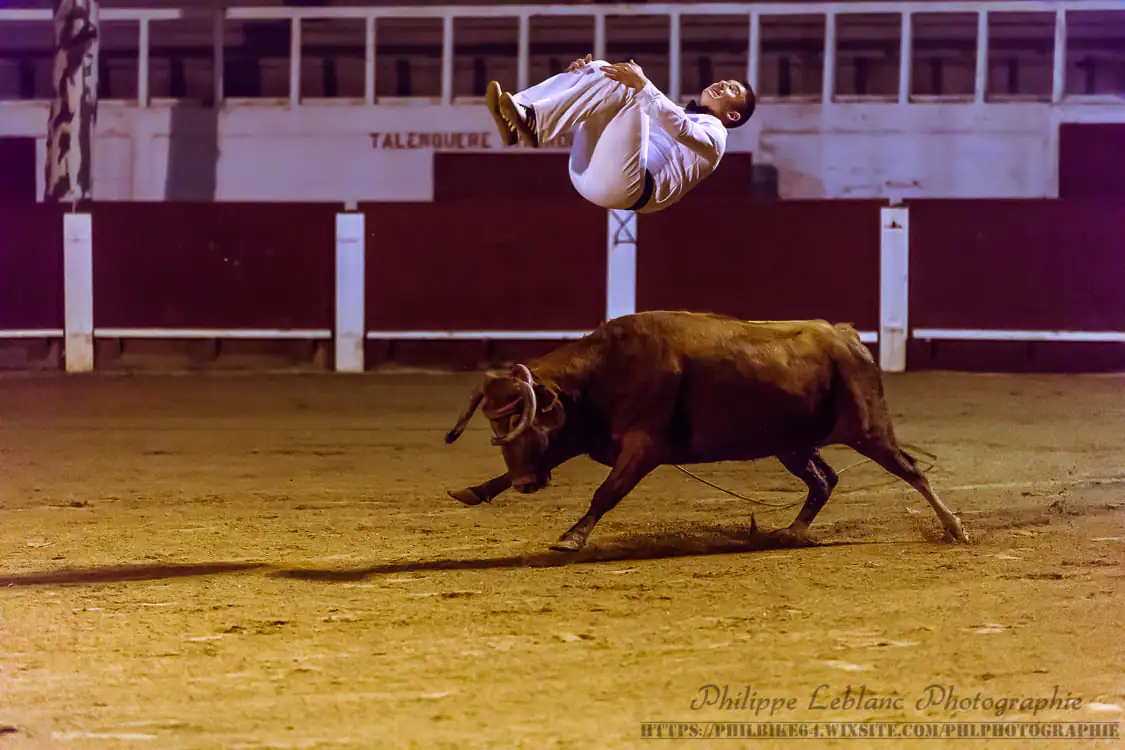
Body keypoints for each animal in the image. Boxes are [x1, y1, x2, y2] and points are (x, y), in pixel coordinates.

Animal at [438, 310, 967, 550]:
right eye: (496, 420)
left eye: (521, 418)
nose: (528, 485)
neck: (601, 373)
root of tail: (845, 335)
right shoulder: (587, 437)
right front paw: (476, 489)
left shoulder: (642, 447)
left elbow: (606, 493)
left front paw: (572, 536)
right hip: (791, 445)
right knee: (824, 481)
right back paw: (791, 531)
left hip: (868, 430)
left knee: (912, 471)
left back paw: (954, 527)